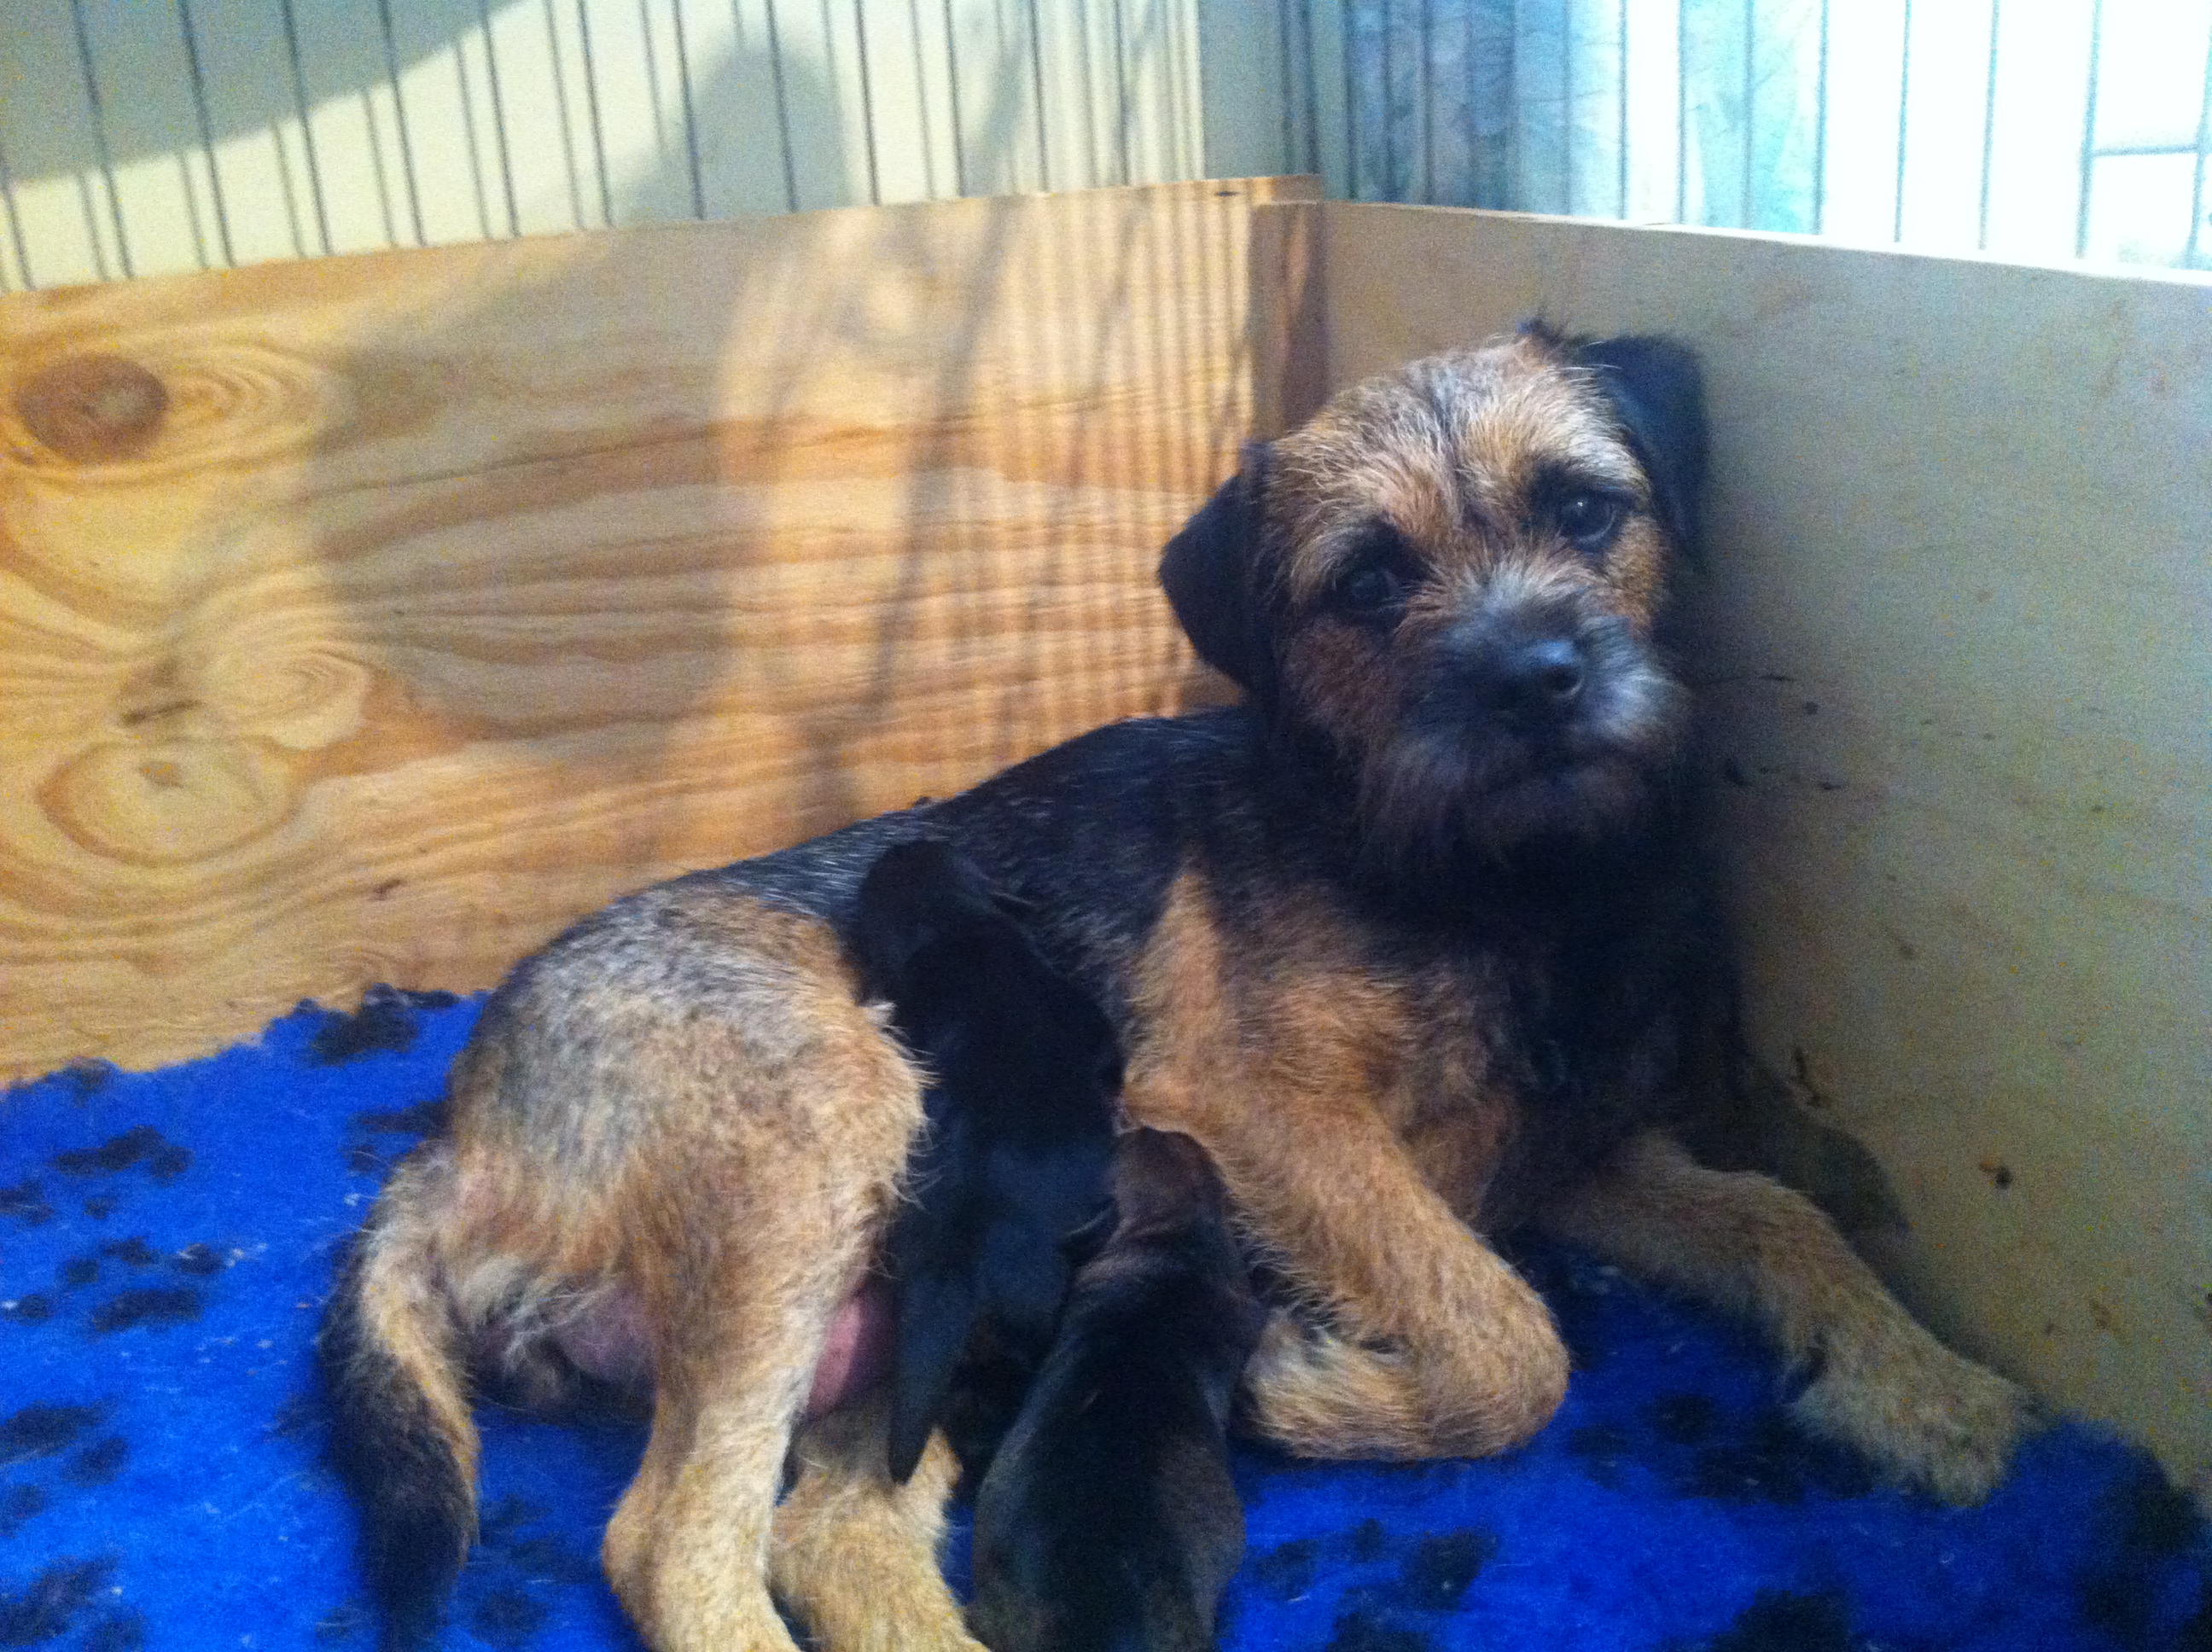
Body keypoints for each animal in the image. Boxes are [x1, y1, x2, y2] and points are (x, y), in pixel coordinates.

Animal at [320, 327, 2026, 1652]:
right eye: (1369, 581)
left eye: (1585, 508)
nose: (1536, 678)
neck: (1489, 877)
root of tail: (454, 1140)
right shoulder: (1266, 1114)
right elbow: (1511, 1337)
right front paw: (1312, 1391)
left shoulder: (1574, 1158)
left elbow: (1778, 1216)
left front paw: (1924, 1380)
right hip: (810, 1148)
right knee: (676, 1543)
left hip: (897, 1321)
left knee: (829, 1531)